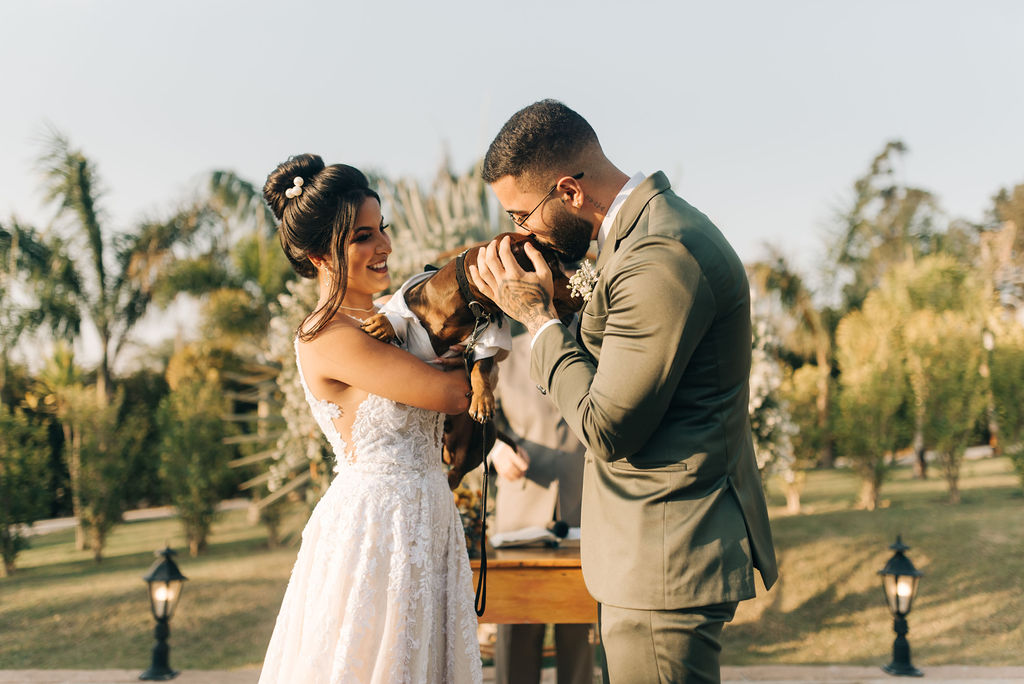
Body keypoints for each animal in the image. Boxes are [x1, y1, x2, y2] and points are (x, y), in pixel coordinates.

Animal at [364, 232, 581, 489]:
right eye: (549, 266)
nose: (580, 292)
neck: (470, 306)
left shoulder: (489, 339)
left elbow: (480, 368)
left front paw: (482, 401)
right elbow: (401, 315)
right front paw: (384, 323)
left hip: (471, 448)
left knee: (455, 475)